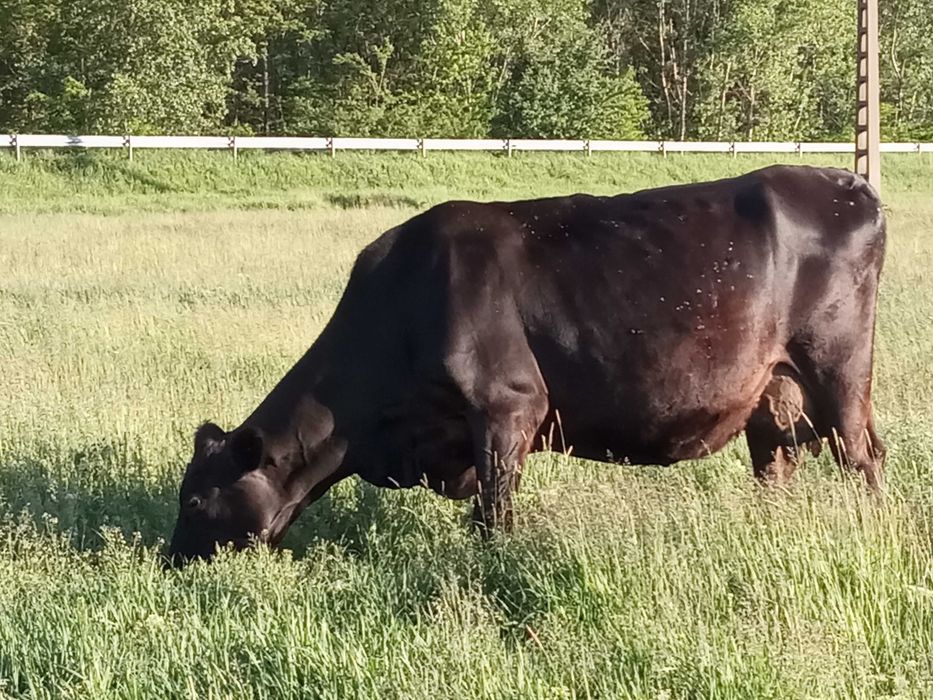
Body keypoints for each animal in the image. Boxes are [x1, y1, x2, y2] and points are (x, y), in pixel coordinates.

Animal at [167, 165, 886, 563]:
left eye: (197, 499)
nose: (170, 563)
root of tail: (849, 183)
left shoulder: (507, 404)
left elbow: (493, 513)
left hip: (837, 367)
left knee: (861, 455)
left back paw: (871, 531)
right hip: (772, 390)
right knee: (779, 463)